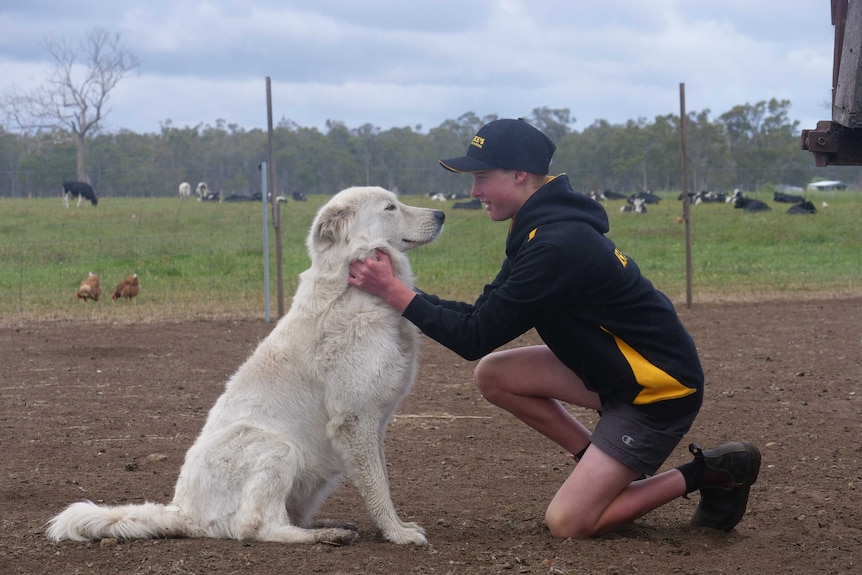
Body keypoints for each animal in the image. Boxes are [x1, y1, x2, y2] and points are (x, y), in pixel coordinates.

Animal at [49, 187, 446, 548]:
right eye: (390, 206)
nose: (441, 215)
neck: (352, 286)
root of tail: (183, 513)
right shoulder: (355, 419)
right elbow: (378, 487)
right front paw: (397, 534)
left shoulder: (372, 425)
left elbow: (380, 478)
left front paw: (396, 527)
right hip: (276, 446)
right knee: (255, 527)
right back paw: (325, 536)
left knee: (282, 517)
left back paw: (325, 526)